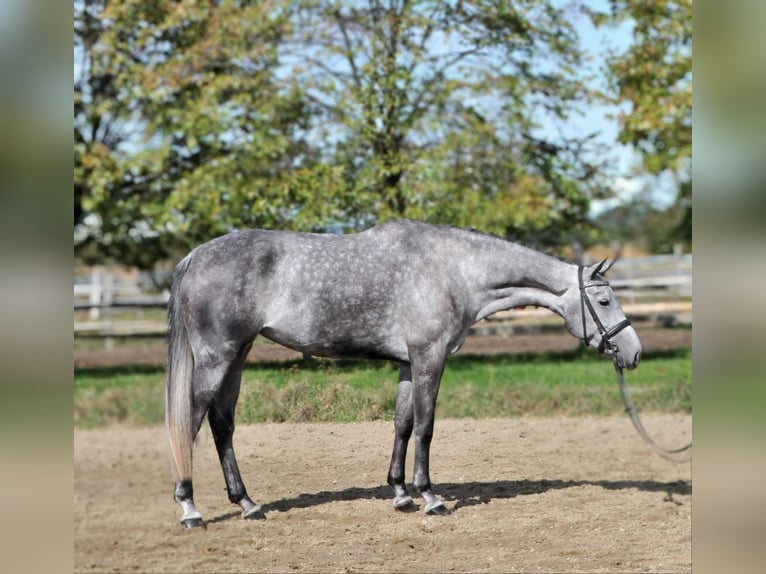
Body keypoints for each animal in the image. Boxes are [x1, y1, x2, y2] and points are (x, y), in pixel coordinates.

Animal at [168, 218, 640, 528]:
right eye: (603, 302)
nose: (633, 352)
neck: (452, 271)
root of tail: (195, 256)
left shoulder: (407, 364)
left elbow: (402, 423)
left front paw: (399, 493)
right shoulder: (430, 358)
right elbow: (426, 426)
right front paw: (429, 497)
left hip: (237, 357)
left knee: (222, 425)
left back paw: (247, 503)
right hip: (217, 357)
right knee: (191, 421)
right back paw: (190, 509)